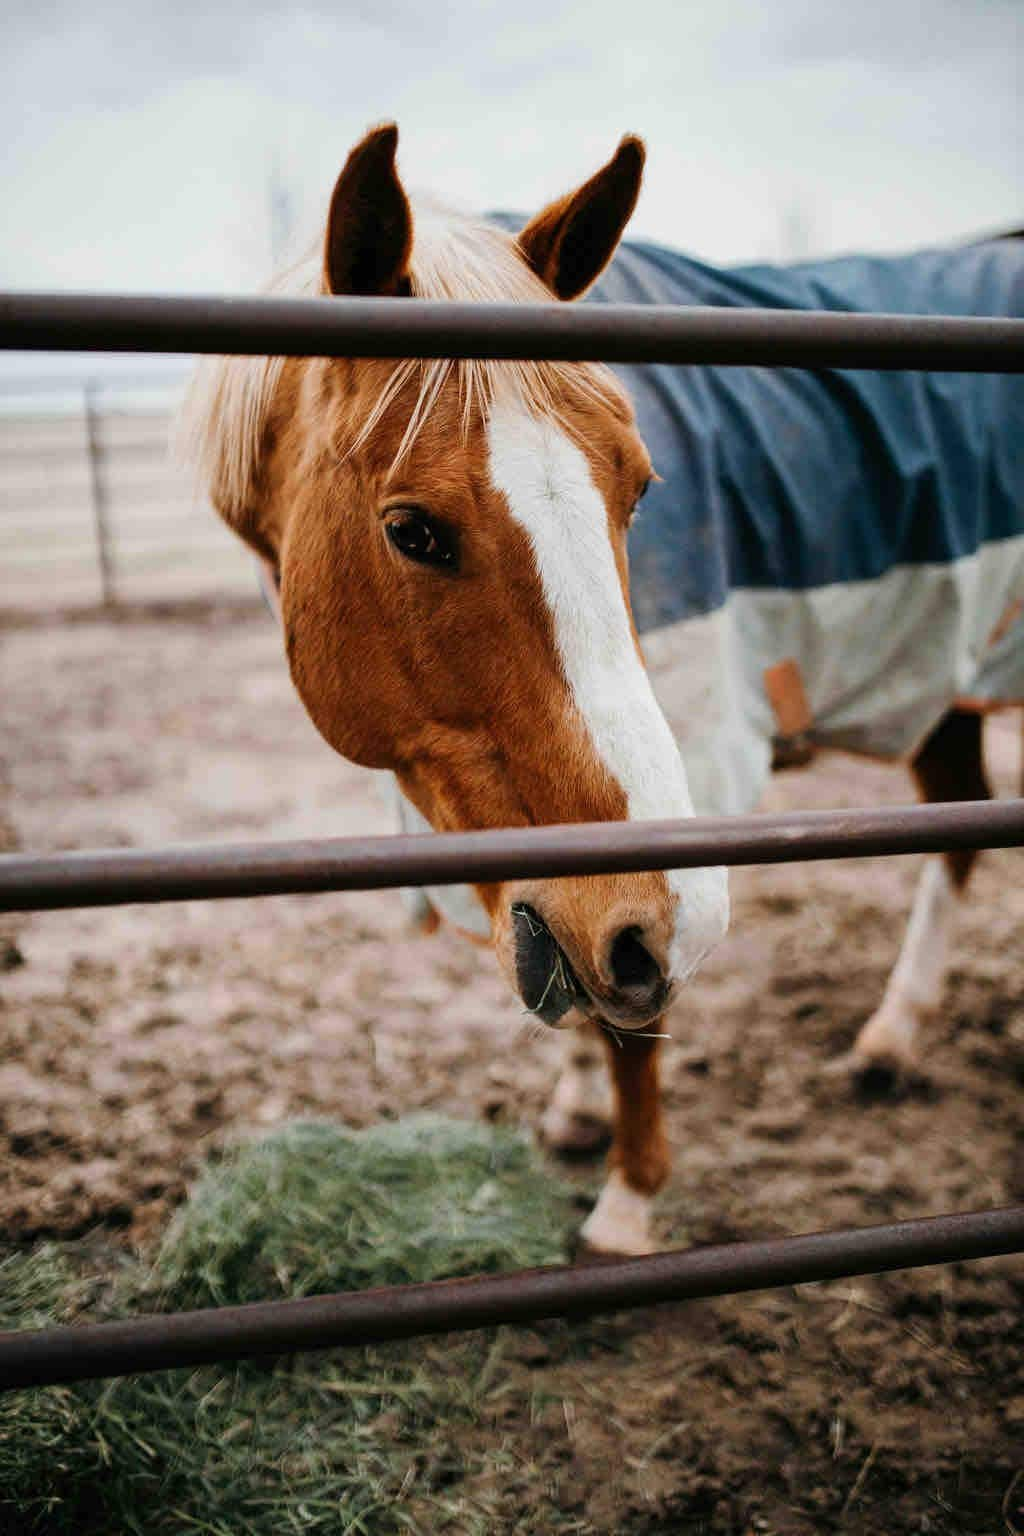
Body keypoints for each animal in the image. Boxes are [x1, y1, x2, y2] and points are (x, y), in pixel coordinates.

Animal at [184, 125, 1024, 1259]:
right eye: (412, 529)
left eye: (640, 488)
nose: (675, 929)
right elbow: (561, 961)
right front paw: (579, 1110)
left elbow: (634, 1015)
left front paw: (627, 1203)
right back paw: (893, 1036)